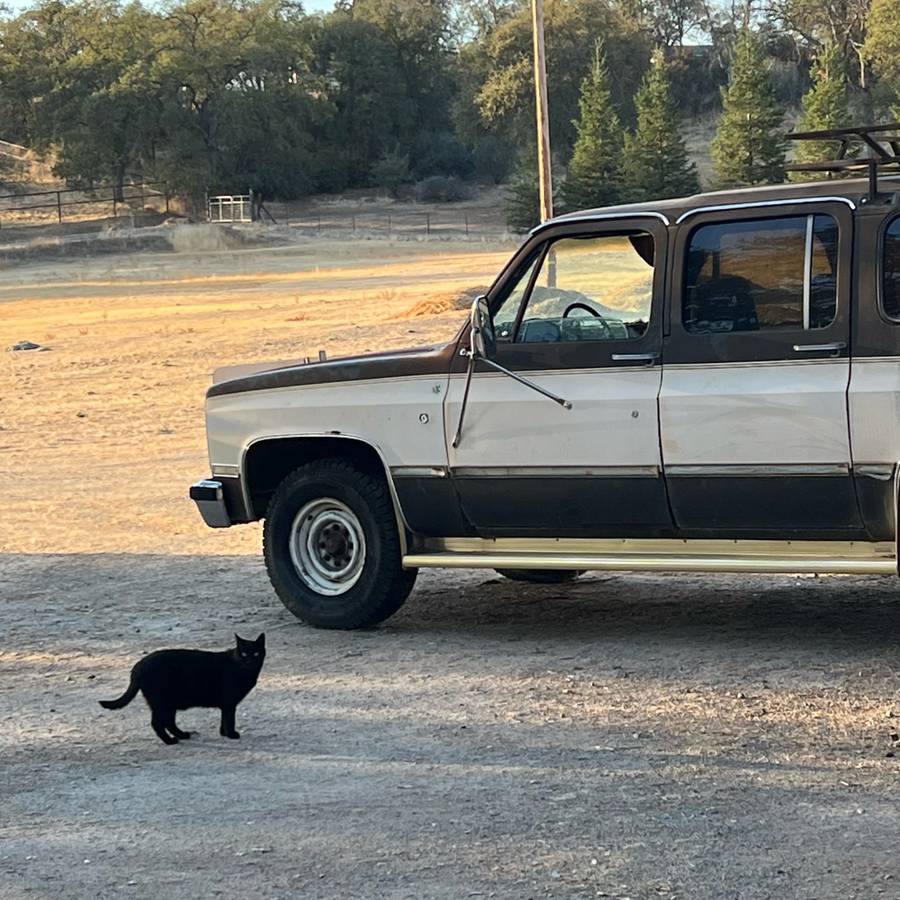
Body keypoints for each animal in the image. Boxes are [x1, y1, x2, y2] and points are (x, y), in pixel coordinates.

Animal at [101, 632, 268, 744]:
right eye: (244, 653)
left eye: (256, 653)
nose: (250, 661)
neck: (244, 670)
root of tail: (138, 665)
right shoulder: (229, 702)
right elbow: (230, 719)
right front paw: (232, 734)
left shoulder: (225, 704)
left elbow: (223, 719)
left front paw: (223, 733)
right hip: (162, 702)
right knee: (157, 723)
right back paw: (170, 741)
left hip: (170, 703)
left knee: (169, 722)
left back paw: (182, 735)